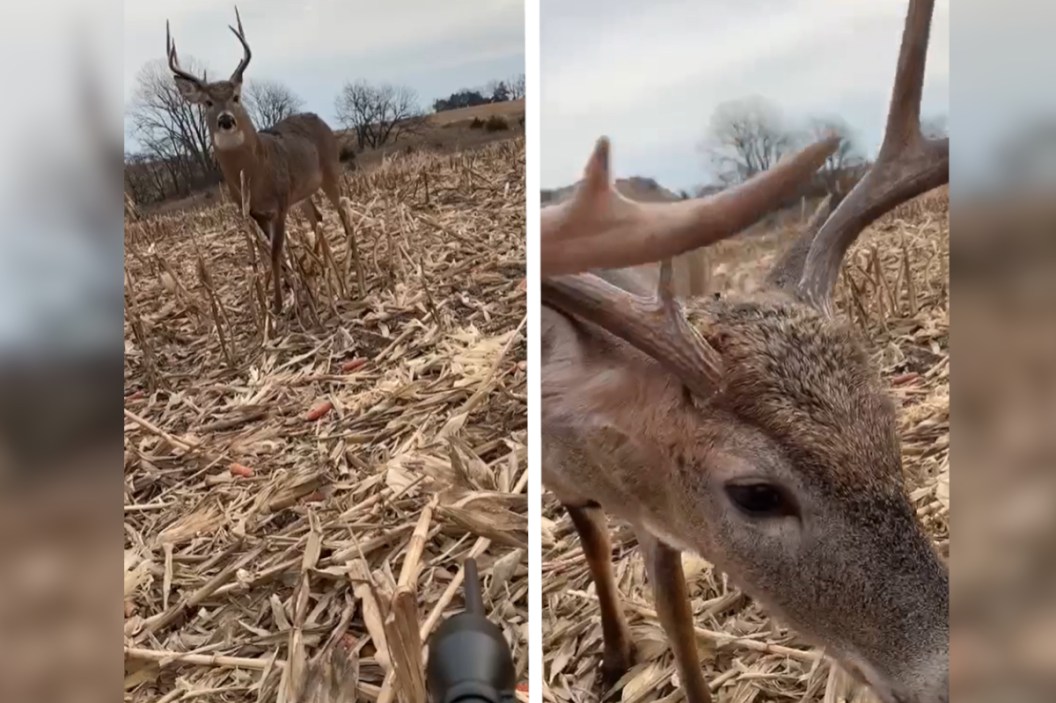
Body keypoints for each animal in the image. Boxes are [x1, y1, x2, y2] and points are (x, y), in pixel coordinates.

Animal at [162, 6, 365, 312]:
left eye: (236, 96)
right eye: (208, 102)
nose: (225, 120)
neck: (256, 173)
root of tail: (320, 120)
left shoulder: (279, 202)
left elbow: (275, 251)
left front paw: (280, 305)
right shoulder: (253, 210)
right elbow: (272, 252)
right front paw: (290, 288)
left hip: (330, 172)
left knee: (344, 214)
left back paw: (352, 267)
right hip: (302, 192)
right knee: (317, 218)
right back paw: (316, 266)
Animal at [544, 1, 950, 700]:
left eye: (890, 427)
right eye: (757, 494)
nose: (954, 673)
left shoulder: (658, 521)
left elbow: (679, 628)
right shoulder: (562, 484)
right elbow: (597, 550)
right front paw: (614, 655)